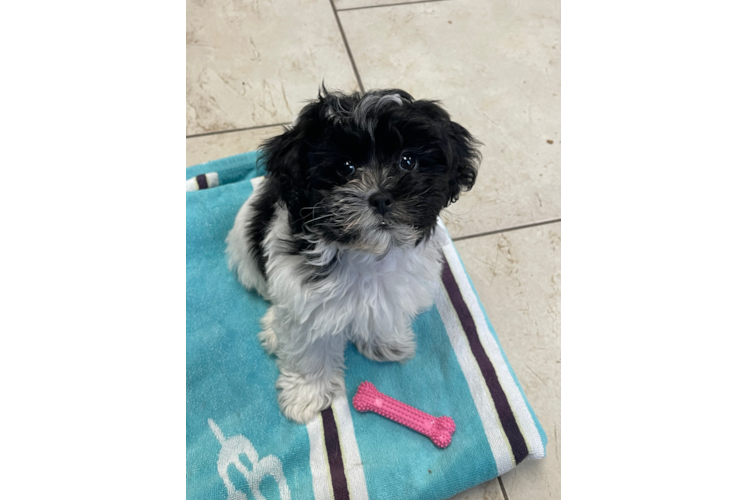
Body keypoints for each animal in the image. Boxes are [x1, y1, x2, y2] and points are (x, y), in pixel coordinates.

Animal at [226, 87, 480, 422]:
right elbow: (308, 347)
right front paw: (306, 394)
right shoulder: (304, 296)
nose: (381, 197)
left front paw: (386, 343)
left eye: (407, 160)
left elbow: (382, 313)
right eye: (345, 167)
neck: (367, 252)